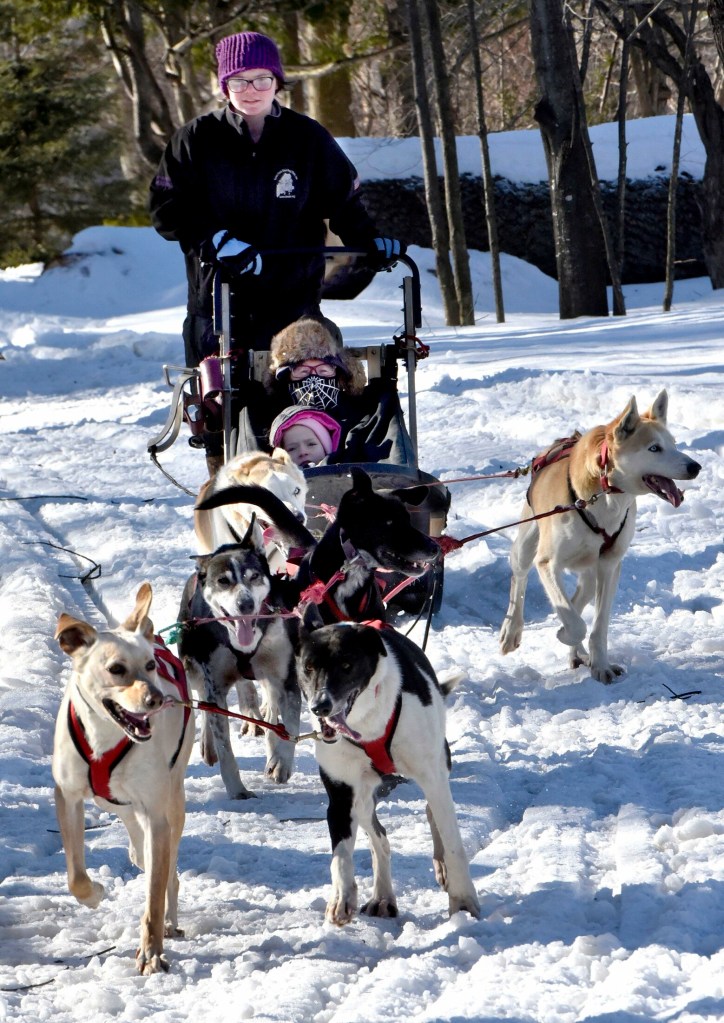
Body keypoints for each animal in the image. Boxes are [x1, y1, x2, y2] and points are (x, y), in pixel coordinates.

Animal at [51, 585, 192, 973]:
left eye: (150, 665)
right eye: (116, 669)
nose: (157, 699)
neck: (105, 738)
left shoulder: (156, 817)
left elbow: (154, 897)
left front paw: (152, 952)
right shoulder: (67, 796)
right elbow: (75, 876)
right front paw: (94, 893)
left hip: (172, 804)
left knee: (167, 872)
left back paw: (170, 921)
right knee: (141, 850)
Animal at [294, 605, 480, 928]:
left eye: (346, 665)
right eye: (308, 667)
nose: (320, 706)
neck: (367, 725)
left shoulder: (432, 776)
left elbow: (454, 843)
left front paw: (464, 901)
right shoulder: (341, 793)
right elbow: (341, 855)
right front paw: (342, 897)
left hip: (438, 765)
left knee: (433, 813)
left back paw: (440, 865)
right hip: (364, 797)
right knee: (379, 837)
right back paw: (382, 896)